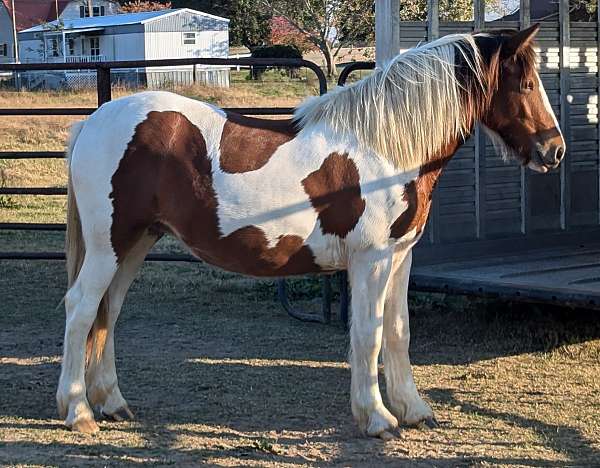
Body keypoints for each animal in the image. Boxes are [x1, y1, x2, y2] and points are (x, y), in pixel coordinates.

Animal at [56, 22, 564, 438]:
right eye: (525, 83)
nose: (554, 150)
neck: (385, 148)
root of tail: (93, 122)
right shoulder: (371, 260)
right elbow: (368, 334)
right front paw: (377, 417)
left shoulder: (401, 256)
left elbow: (398, 331)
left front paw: (414, 410)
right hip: (109, 246)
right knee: (81, 308)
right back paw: (77, 410)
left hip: (137, 243)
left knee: (108, 310)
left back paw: (112, 403)